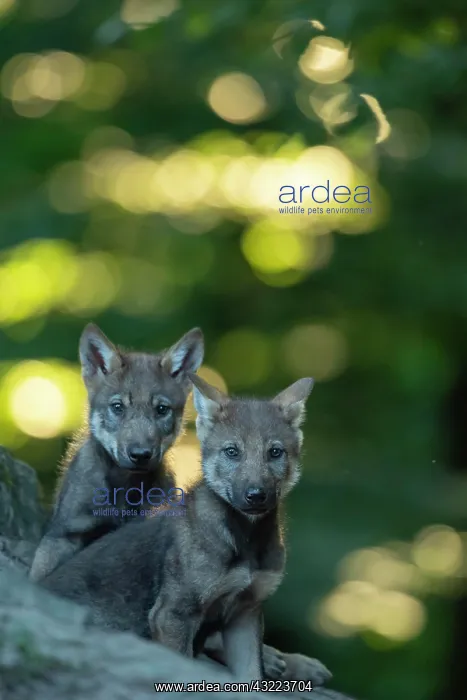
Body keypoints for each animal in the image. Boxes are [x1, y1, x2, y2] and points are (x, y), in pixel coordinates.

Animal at [41, 373, 331, 685]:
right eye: (232, 452)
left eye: (275, 452)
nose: (256, 495)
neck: (245, 542)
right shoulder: (173, 614)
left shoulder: (245, 613)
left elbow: (252, 679)